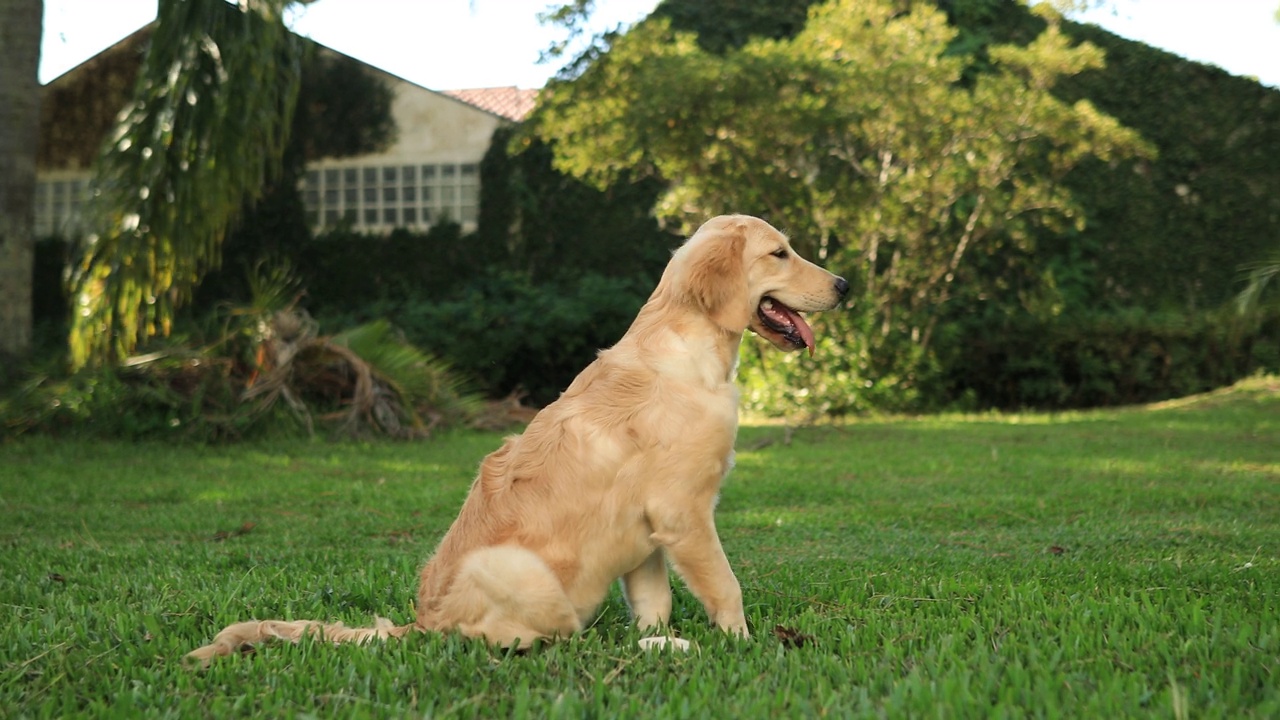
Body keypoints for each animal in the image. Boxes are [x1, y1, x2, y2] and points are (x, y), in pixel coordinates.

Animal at [186, 212, 849, 661]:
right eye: (780, 253)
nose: (844, 285)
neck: (688, 352)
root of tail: (421, 625)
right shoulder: (683, 513)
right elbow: (726, 588)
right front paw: (744, 644)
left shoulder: (648, 533)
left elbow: (652, 606)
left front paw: (664, 638)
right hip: (517, 572)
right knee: (541, 642)